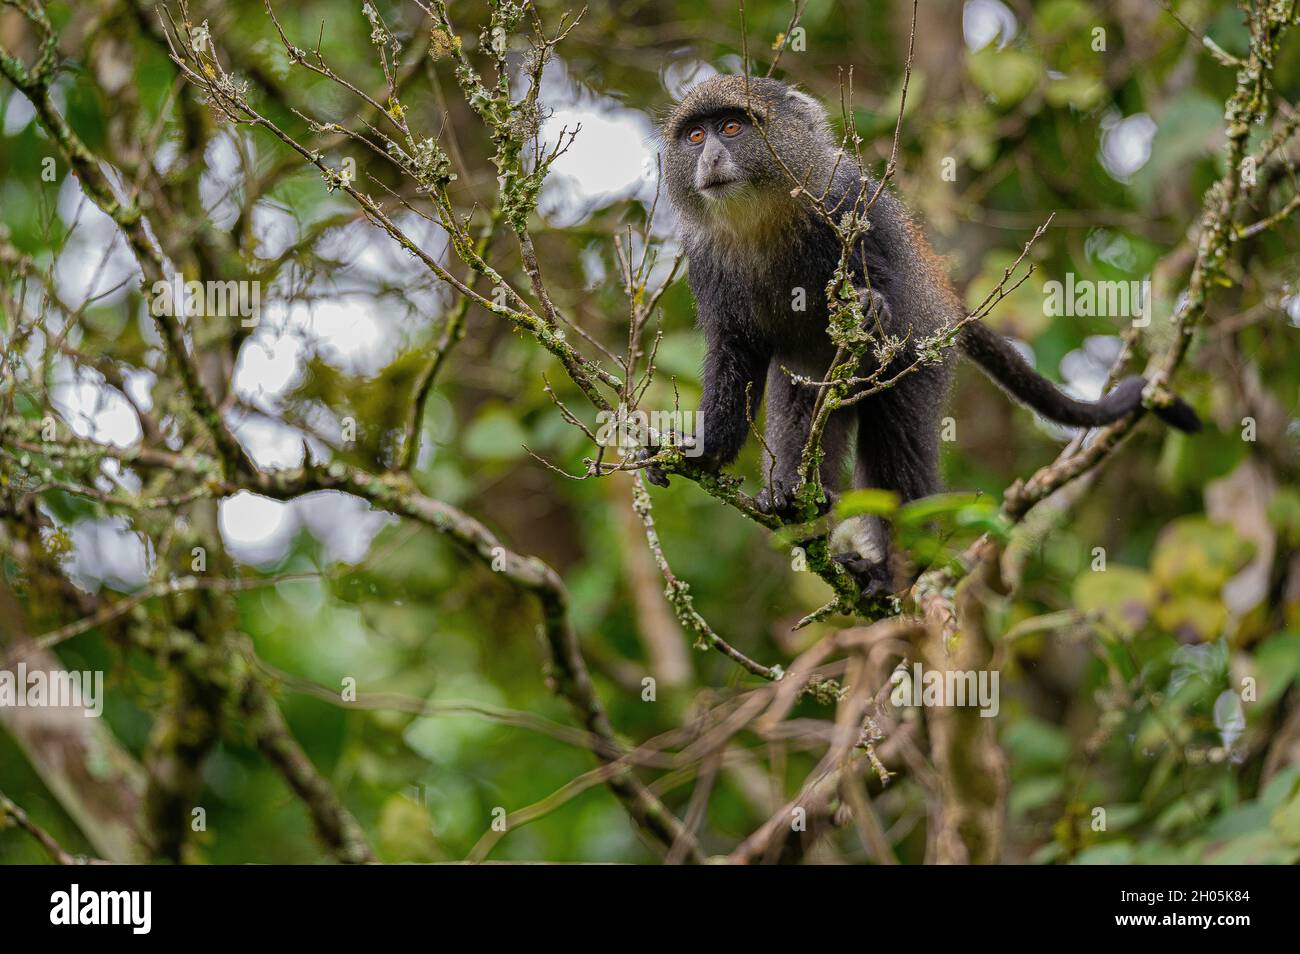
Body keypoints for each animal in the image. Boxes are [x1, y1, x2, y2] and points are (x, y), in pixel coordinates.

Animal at [644, 76, 1201, 597]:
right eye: (696, 135)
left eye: (732, 127)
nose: (711, 157)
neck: (760, 217)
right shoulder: (707, 262)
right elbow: (735, 355)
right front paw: (704, 450)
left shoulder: (845, 203)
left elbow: (879, 292)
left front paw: (871, 306)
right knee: (801, 411)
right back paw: (797, 505)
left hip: (919, 362)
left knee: (898, 446)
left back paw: (893, 573)